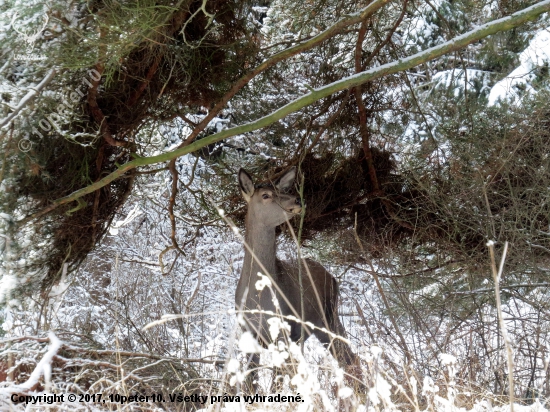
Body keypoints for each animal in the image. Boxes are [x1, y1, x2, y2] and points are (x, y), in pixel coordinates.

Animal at [236, 167, 362, 392]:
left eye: (282, 189)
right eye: (265, 195)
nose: (297, 199)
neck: (258, 295)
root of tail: (332, 277)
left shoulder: (284, 332)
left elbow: (276, 384)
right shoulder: (248, 333)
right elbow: (251, 384)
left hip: (328, 316)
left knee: (348, 357)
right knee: (346, 358)